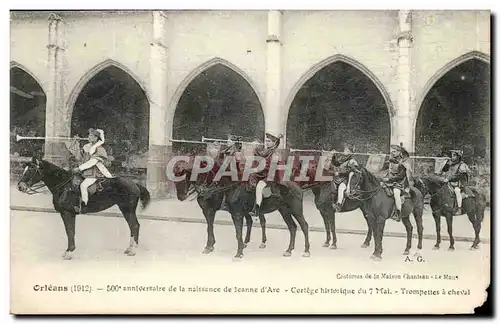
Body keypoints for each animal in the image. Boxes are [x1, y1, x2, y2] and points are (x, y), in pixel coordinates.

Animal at [17, 156, 150, 260]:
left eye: (31, 170)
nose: (20, 186)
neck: (63, 185)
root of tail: (134, 184)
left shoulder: (67, 213)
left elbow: (70, 231)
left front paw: (69, 252)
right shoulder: (66, 214)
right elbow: (70, 231)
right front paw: (69, 250)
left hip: (127, 209)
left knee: (134, 226)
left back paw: (133, 250)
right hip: (126, 210)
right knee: (133, 226)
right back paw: (129, 248)